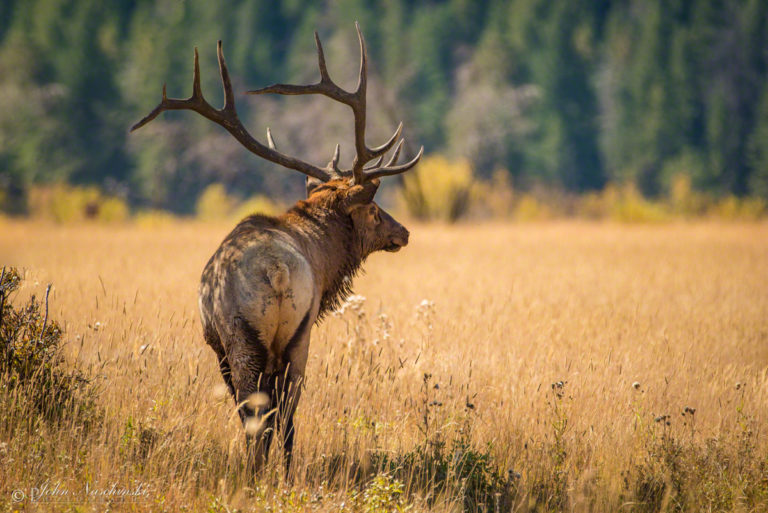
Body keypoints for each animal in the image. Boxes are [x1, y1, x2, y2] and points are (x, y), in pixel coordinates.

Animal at [130, 24, 420, 472]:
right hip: (286, 335)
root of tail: (277, 271)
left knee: (264, 412)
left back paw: (261, 470)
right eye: (373, 210)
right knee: (278, 411)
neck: (322, 259)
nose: (403, 232)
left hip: (250, 338)